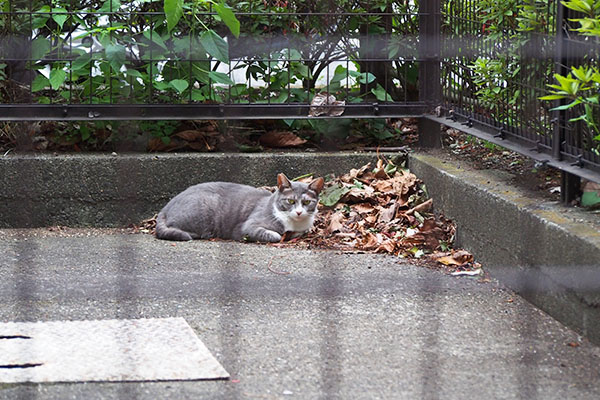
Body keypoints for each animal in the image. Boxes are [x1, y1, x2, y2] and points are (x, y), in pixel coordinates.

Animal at [155, 173, 324, 242]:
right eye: (290, 201)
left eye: (307, 203)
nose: (299, 212)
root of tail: (165, 208)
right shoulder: (249, 226)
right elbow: (274, 235)